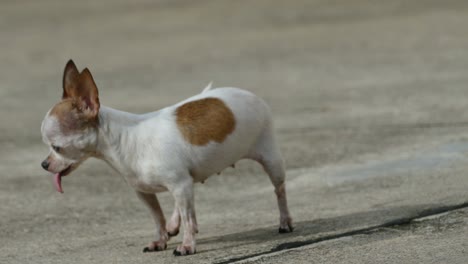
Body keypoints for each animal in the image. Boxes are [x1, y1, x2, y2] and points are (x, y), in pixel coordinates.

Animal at [42, 60, 294, 256]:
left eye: (57, 147)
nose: (44, 164)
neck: (125, 140)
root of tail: (246, 92)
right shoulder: (147, 191)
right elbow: (158, 218)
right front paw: (162, 239)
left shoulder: (179, 184)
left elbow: (189, 219)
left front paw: (187, 246)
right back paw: (174, 224)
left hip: (271, 160)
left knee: (279, 190)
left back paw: (285, 222)